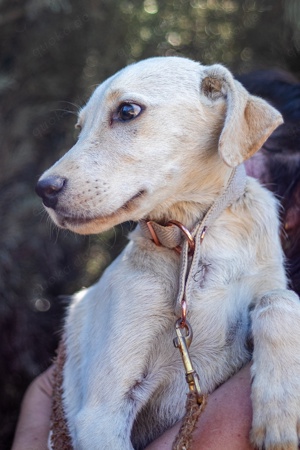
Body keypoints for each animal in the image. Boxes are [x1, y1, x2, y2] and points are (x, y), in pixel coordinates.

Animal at [37, 57, 300, 450]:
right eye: (80, 128)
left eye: (127, 111)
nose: (44, 190)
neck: (192, 241)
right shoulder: (100, 414)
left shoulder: (264, 289)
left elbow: (279, 298)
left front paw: (280, 411)